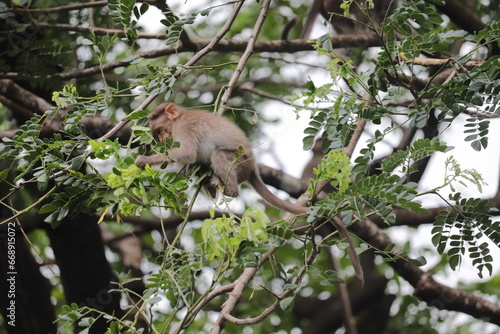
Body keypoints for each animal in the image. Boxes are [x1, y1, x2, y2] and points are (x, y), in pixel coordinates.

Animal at [135, 103, 310, 215]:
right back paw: (211, 188)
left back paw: (229, 190)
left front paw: (143, 160)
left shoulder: (184, 126)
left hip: (240, 164)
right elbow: (180, 167)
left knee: (218, 154)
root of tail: (253, 169)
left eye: (159, 131)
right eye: (157, 135)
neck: (180, 117)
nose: (162, 139)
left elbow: (186, 153)